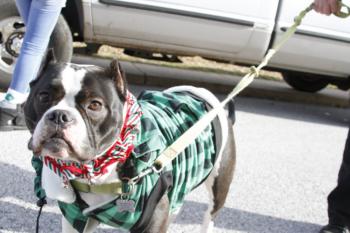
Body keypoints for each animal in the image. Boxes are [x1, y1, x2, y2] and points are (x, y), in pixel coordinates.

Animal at [24, 52, 237, 233]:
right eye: (43, 96)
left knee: (210, 215)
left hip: (217, 188)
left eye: (95, 105)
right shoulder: (76, 218)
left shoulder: (154, 220)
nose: (60, 116)